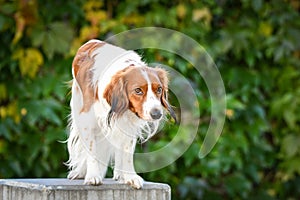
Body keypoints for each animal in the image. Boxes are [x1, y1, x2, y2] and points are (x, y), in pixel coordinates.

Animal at [67, 39, 176, 189]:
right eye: (138, 90)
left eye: (159, 89)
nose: (156, 114)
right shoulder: (87, 121)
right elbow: (91, 149)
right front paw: (93, 175)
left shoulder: (129, 123)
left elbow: (127, 153)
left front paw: (129, 176)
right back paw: (81, 172)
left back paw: (120, 174)